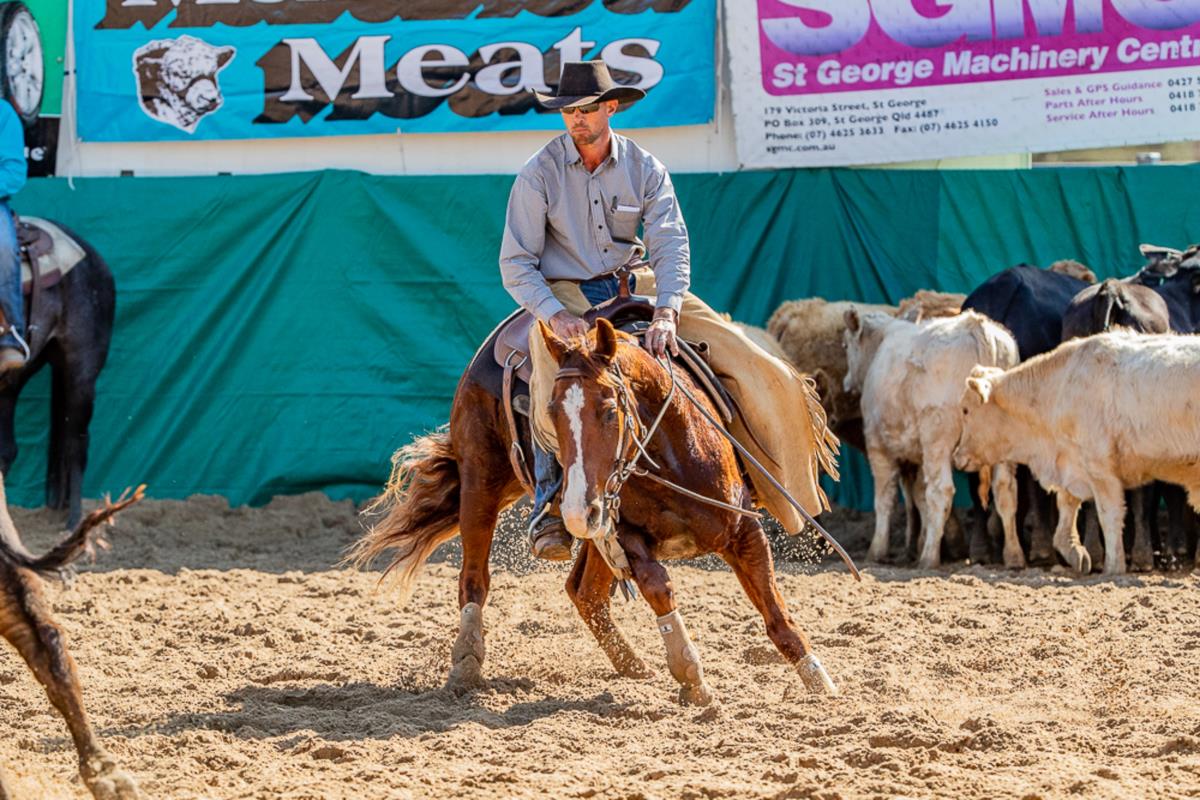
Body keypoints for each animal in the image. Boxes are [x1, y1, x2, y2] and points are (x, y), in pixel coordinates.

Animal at [352, 315, 840, 705]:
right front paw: (691, 674)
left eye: (608, 410)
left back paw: (632, 664)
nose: (572, 509)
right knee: (475, 579)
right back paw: (467, 661)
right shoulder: (626, 536)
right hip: (484, 482)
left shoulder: (742, 531)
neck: (669, 455)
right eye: (549, 411)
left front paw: (818, 679)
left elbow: (775, 611)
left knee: (582, 590)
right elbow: (659, 588)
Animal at [843, 309, 1021, 570]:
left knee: (941, 492)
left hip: (938, 438)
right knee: (1005, 490)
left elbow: (885, 498)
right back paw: (1014, 555)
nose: (846, 382)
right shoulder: (918, 455)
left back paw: (929, 557)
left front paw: (877, 550)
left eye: (845, 345)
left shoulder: (878, 446)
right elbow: (919, 495)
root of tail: (976, 326)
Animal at [956, 332, 1200, 575]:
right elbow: (1067, 507)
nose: (957, 456)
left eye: (966, 410)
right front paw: (1075, 552)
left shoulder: (1100, 469)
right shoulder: (1071, 463)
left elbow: (1109, 516)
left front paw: (1113, 566)